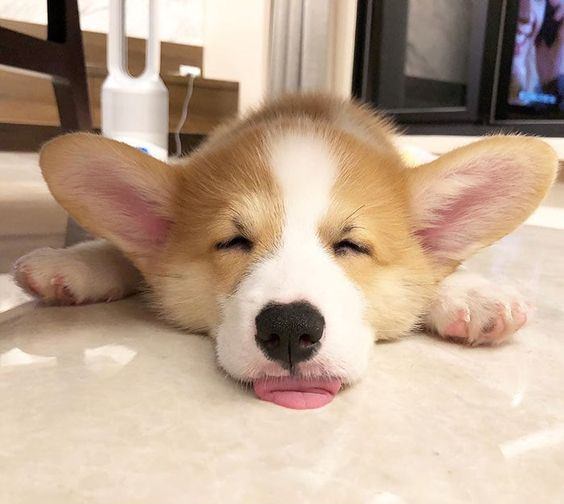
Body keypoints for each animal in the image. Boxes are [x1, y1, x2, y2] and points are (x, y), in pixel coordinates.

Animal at [13, 94, 560, 410]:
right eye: (233, 241)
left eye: (351, 245)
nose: (291, 329)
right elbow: (123, 251)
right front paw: (71, 264)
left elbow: (441, 270)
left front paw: (472, 296)